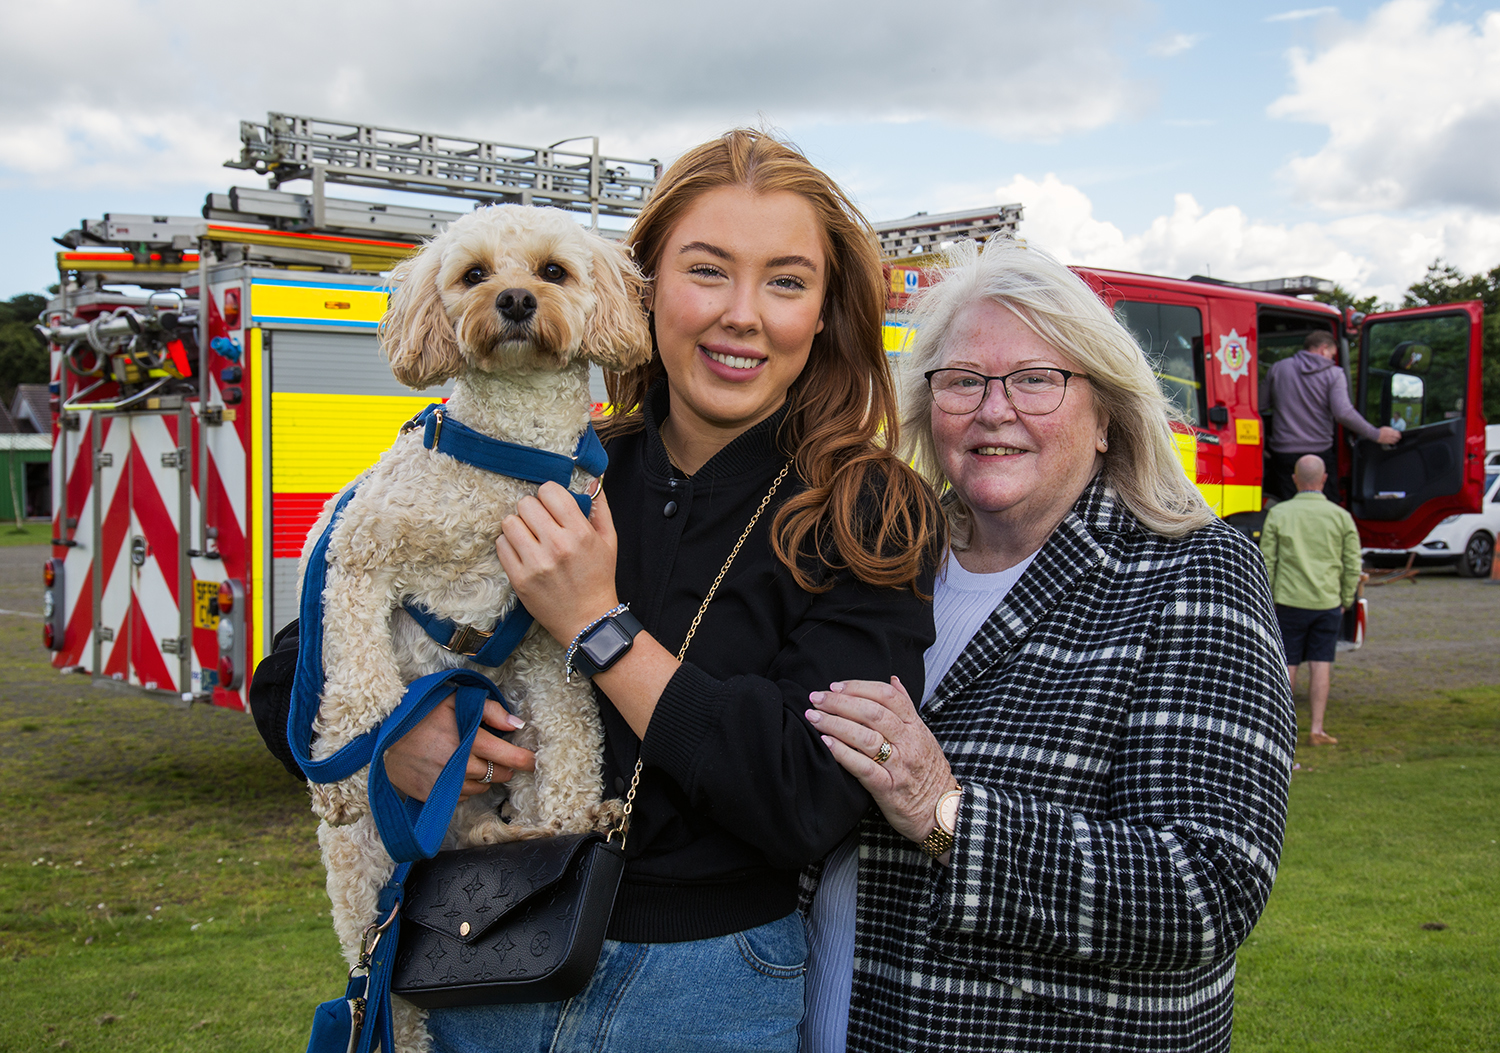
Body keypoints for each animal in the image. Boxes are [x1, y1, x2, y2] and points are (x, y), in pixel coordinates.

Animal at [303, 202, 651, 1050]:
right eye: (474, 274)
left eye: (553, 271)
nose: (516, 301)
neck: (509, 464)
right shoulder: (353, 552)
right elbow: (357, 671)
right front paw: (351, 748)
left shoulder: (548, 636)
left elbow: (571, 733)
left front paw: (569, 819)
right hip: (363, 881)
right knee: (389, 998)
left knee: (477, 832)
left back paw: (528, 832)